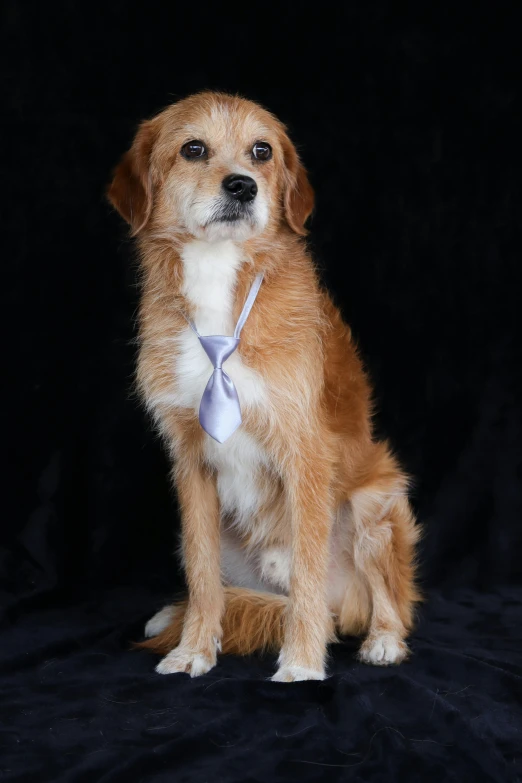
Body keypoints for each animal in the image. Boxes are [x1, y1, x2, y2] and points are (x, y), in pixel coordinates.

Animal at [106, 90, 418, 680]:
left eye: (261, 151)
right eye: (193, 149)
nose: (242, 186)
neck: (218, 279)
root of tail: (347, 608)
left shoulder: (305, 452)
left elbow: (307, 577)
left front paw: (302, 661)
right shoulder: (191, 463)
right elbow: (202, 576)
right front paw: (194, 648)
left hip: (377, 505)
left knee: (383, 598)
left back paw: (382, 641)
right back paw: (176, 617)